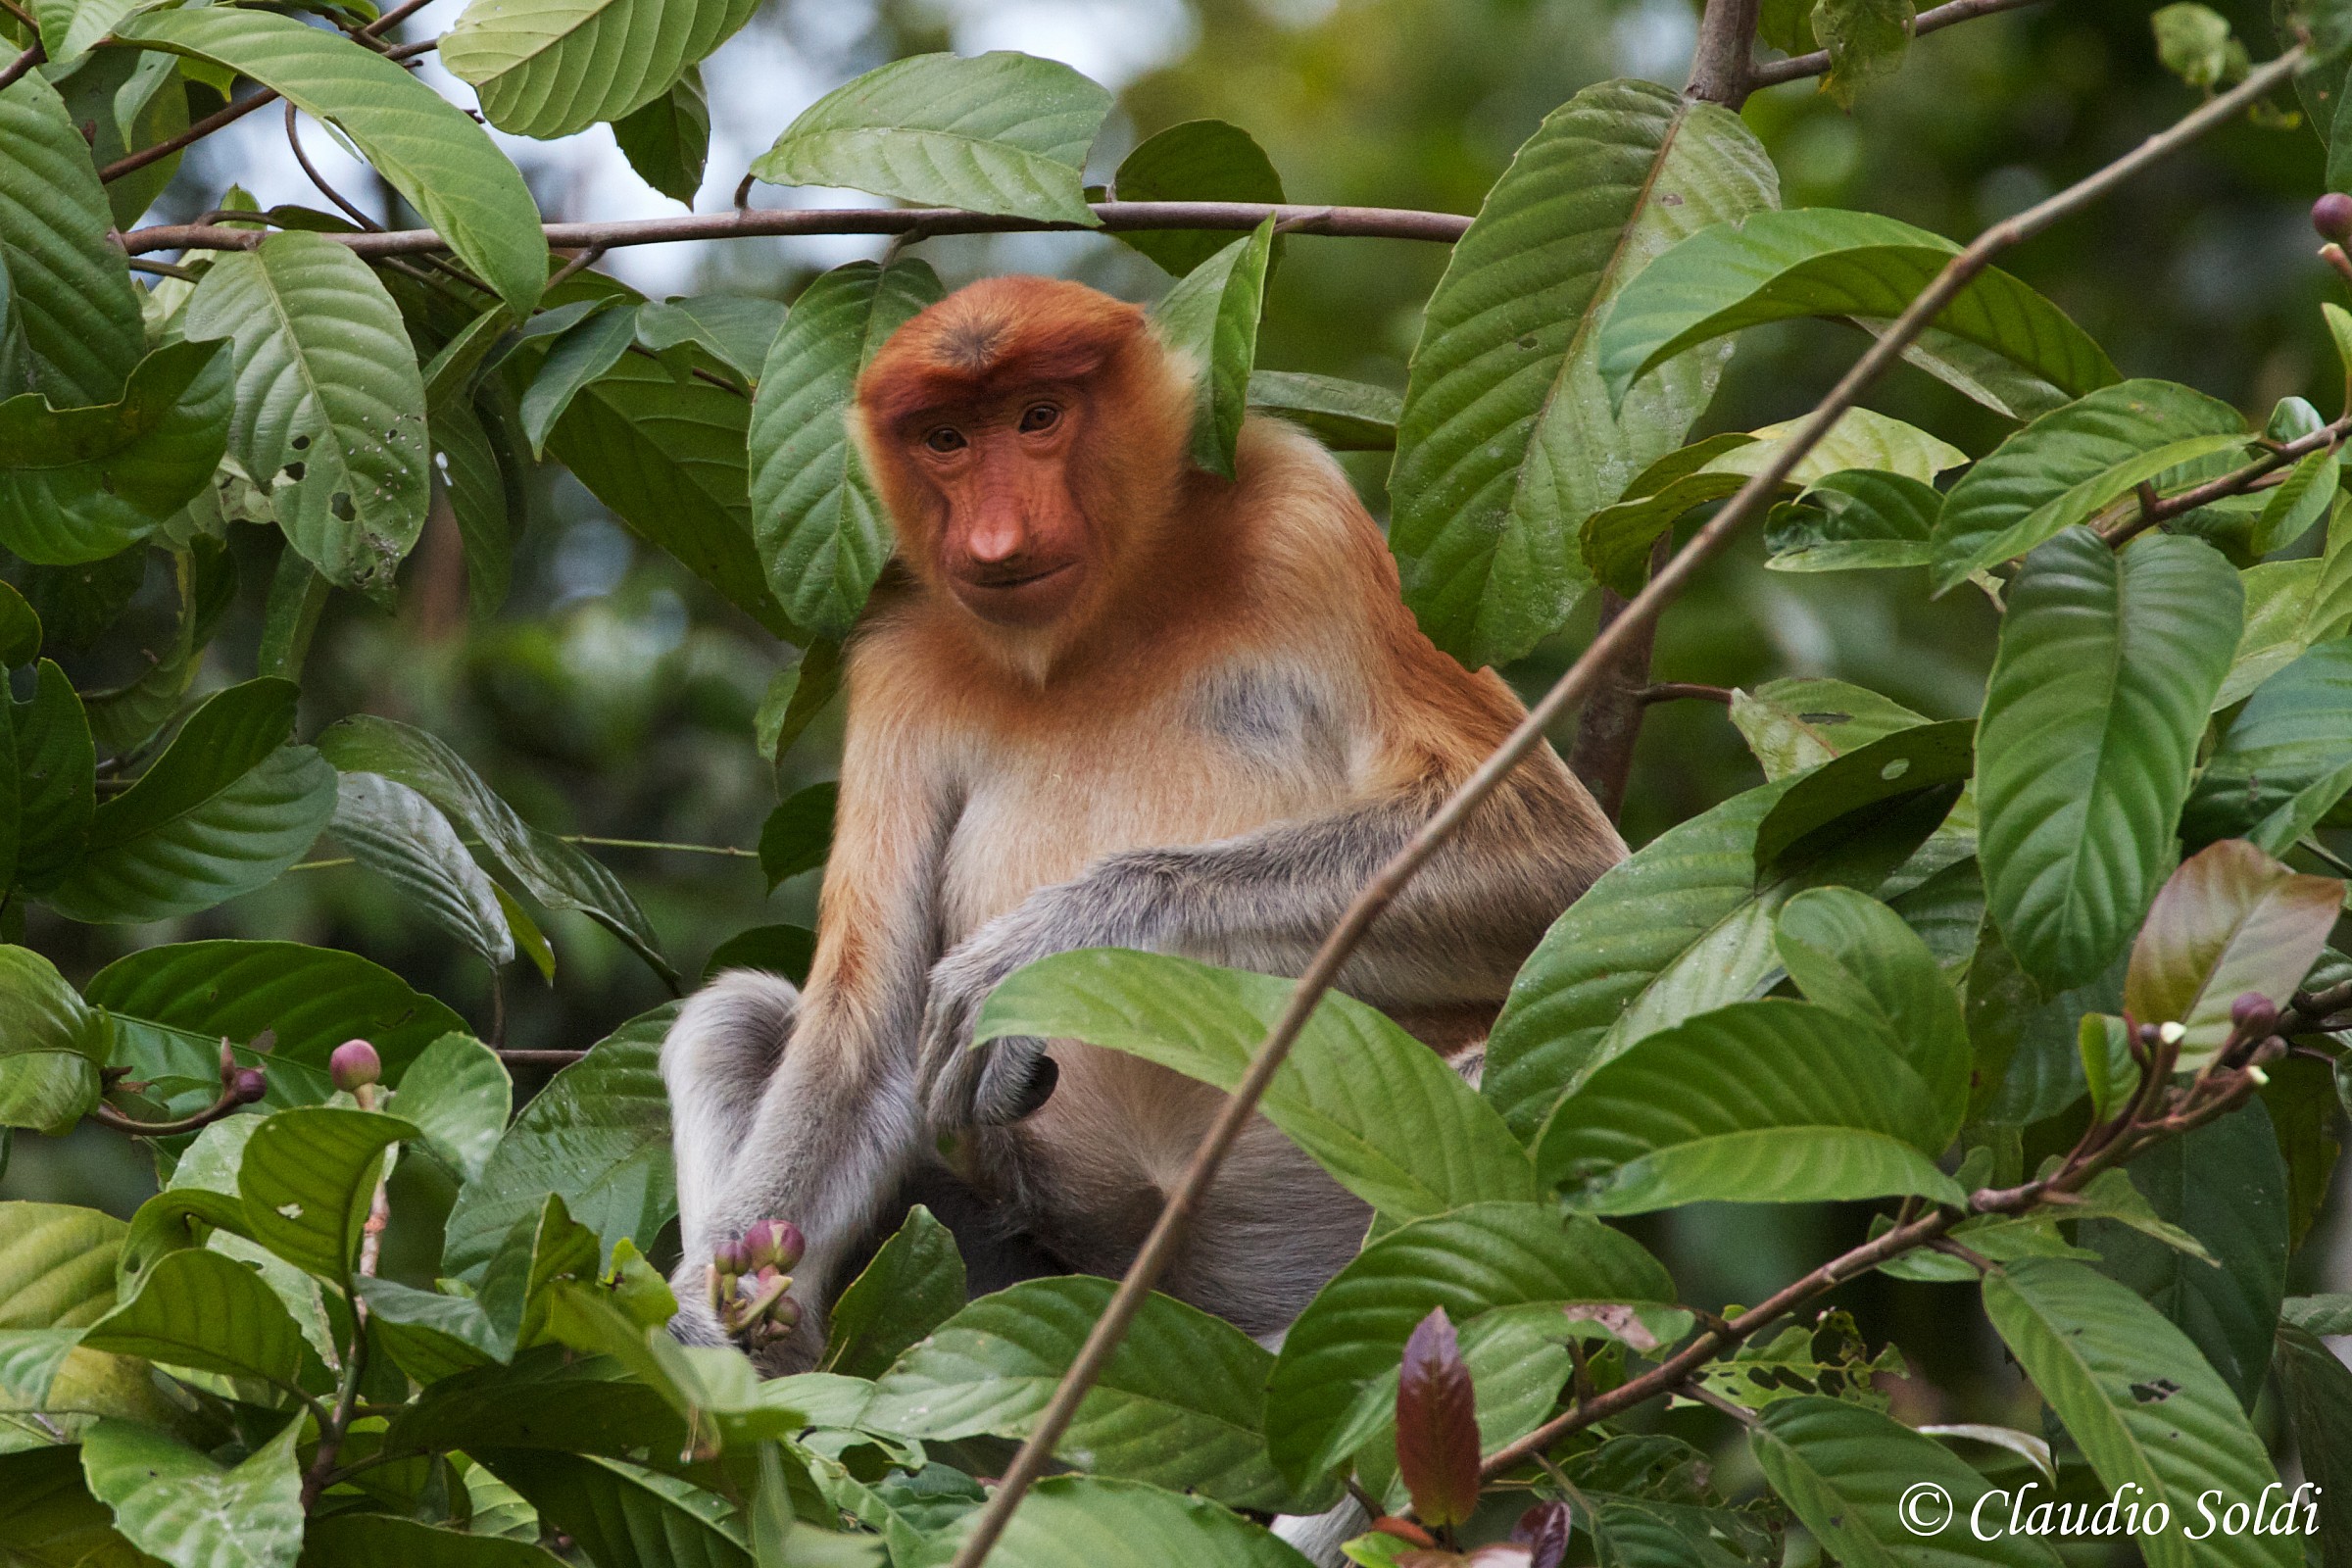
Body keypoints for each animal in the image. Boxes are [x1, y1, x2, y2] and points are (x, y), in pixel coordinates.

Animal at [662, 274, 1626, 1369]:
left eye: (1039, 417)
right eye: (946, 438)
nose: (992, 541)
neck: (1102, 618)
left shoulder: (1308, 521)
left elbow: (1555, 858)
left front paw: (1047, 942)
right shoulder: (897, 661)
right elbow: (866, 1031)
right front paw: (709, 1315)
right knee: (736, 1021)